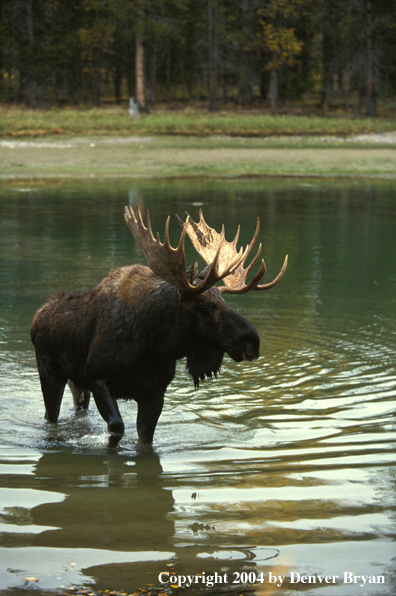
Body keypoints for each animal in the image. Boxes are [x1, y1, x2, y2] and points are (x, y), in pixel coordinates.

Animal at [30, 207, 284, 444]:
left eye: (224, 300)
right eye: (205, 306)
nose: (252, 342)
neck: (154, 345)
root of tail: (36, 317)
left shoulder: (154, 393)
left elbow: (145, 438)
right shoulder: (98, 378)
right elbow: (117, 427)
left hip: (76, 382)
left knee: (78, 405)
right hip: (50, 372)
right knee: (50, 415)